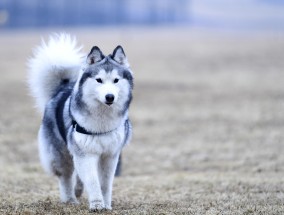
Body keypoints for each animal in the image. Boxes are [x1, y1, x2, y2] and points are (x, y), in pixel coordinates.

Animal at [27, 34, 133, 211]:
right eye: (99, 80)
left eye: (116, 80)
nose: (110, 97)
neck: (102, 119)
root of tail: (61, 88)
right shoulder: (85, 153)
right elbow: (92, 180)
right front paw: (97, 204)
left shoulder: (110, 155)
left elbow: (105, 183)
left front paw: (106, 204)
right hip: (61, 154)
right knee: (66, 176)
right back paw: (70, 198)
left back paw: (77, 190)